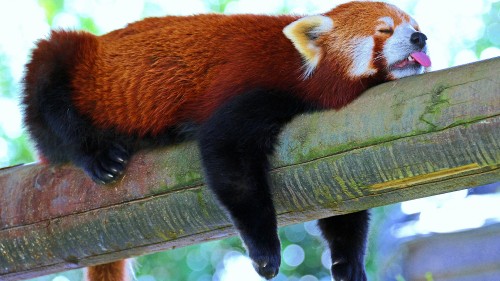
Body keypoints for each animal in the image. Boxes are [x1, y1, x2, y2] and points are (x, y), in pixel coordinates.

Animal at [22, 1, 430, 278]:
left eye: (413, 25)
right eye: (384, 31)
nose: (420, 36)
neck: (299, 66)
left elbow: (340, 196)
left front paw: (347, 261)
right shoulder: (249, 84)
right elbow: (229, 161)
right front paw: (265, 251)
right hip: (69, 67)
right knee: (51, 89)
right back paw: (96, 154)